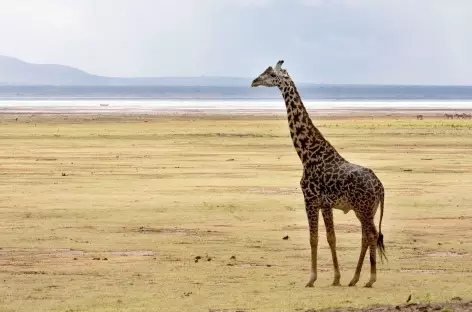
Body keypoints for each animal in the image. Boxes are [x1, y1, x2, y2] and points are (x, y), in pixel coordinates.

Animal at [253, 60, 386, 288]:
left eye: (271, 74)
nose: (254, 81)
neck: (307, 154)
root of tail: (381, 187)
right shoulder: (325, 204)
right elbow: (330, 238)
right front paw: (336, 278)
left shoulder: (310, 200)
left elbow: (314, 238)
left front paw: (312, 278)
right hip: (368, 209)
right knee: (366, 236)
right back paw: (355, 278)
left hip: (364, 209)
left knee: (372, 235)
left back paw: (370, 279)